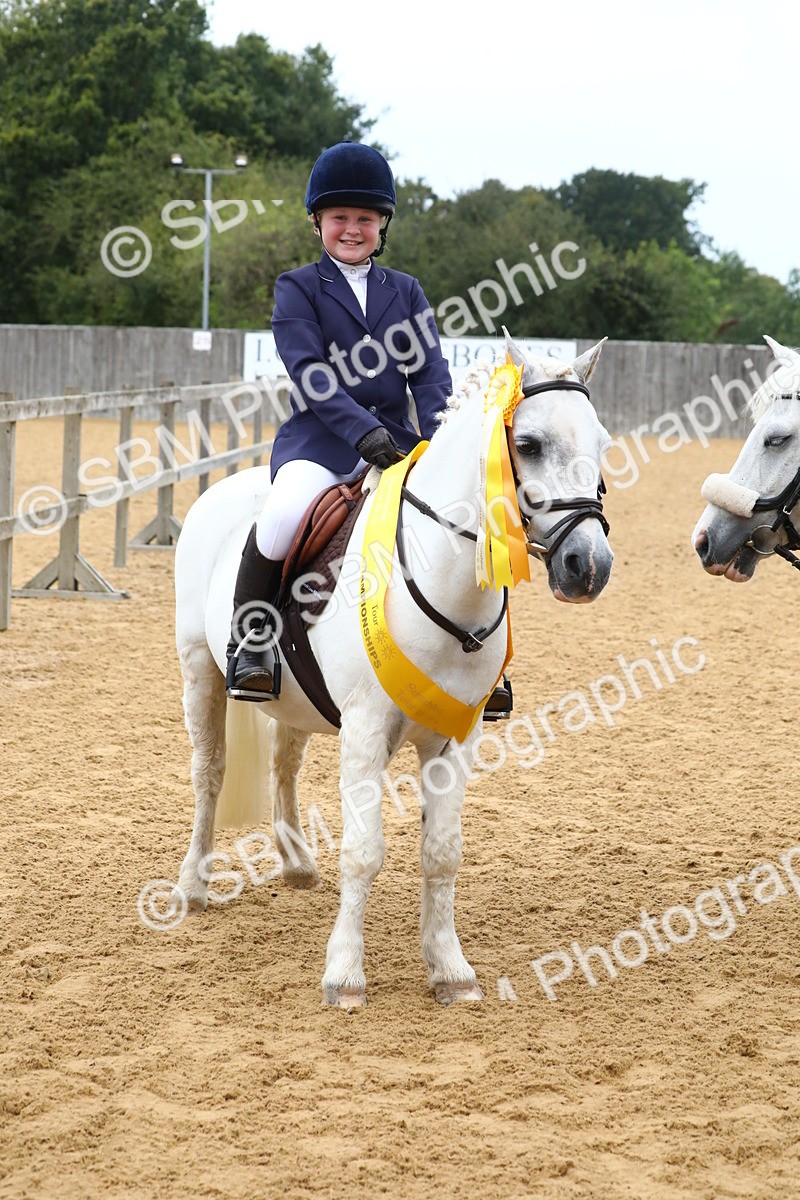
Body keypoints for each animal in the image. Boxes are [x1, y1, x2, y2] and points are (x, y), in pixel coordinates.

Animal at [173, 330, 614, 1007]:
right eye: (529, 445)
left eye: (602, 445)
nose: (588, 566)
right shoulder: (364, 731)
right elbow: (364, 851)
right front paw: (344, 975)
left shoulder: (458, 736)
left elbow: (442, 852)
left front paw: (450, 970)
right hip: (200, 669)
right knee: (210, 773)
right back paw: (192, 886)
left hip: (293, 699)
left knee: (283, 761)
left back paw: (296, 862)